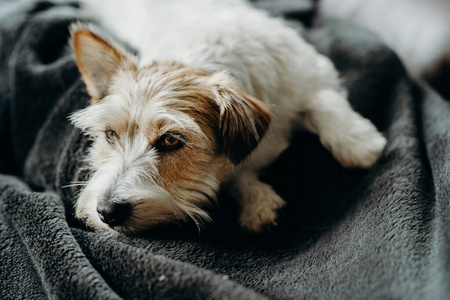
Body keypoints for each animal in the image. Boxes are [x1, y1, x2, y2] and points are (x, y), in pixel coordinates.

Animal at [70, 0, 386, 234]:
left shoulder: (310, 70)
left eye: (171, 140)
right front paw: (257, 201)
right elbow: (234, 174)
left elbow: (323, 100)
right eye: (110, 134)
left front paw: (358, 143)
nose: (106, 212)